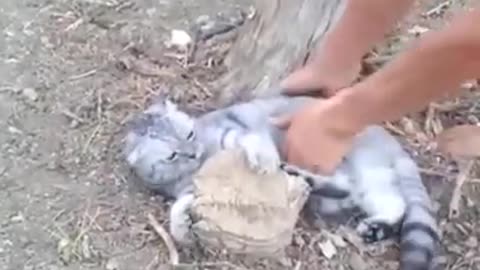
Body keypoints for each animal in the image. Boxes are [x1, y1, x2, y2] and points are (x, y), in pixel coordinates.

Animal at [125, 95, 440, 270]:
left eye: (189, 134)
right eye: (172, 155)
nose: (194, 152)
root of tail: (391, 141)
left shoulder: (236, 131)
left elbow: (251, 141)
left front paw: (264, 159)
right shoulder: (191, 189)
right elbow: (177, 211)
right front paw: (182, 227)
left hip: (364, 167)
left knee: (387, 200)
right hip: (356, 187)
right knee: (361, 195)